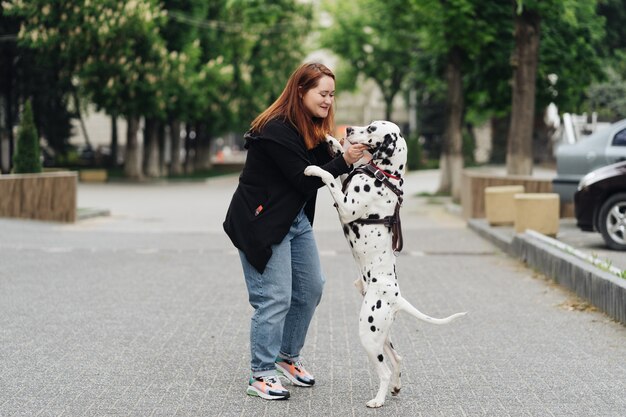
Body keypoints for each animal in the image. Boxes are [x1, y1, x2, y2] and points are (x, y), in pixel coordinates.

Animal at [302, 120, 464, 406]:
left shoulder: (346, 206)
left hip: (368, 333)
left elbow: (330, 177)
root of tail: (396, 298)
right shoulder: (346, 187)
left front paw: (315, 168)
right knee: (398, 359)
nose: (348, 130)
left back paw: (378, 400)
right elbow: (342, 168)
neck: (384, 175)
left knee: (385, 371)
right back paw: (396, 388)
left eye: (371, 128)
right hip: (382, 334)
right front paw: (332, 142)